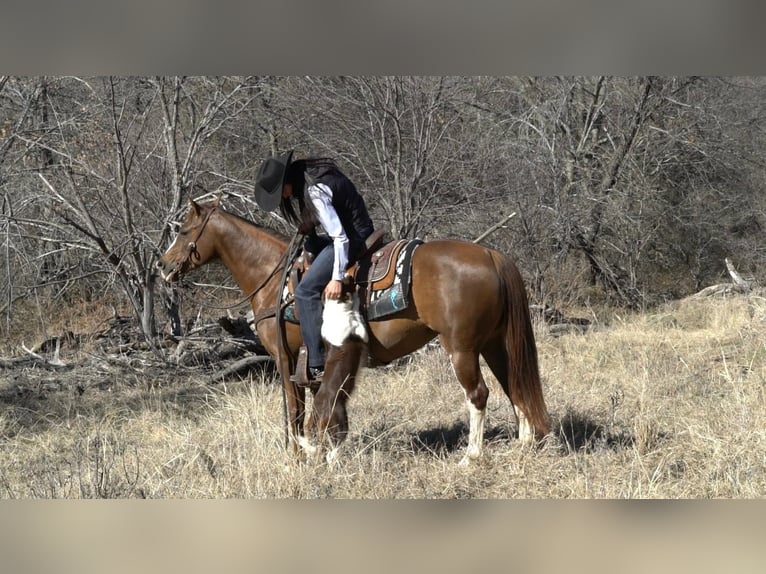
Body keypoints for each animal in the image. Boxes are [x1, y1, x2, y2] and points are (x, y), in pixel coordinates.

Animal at [157, 197, 550, 465]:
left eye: (184, 231)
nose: (162, 265)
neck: (274, 277)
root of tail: (489, 254)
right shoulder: (323, 363)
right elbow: (328, 408)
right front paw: (324, 453)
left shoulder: (287, 359)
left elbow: (296, 411)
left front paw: (299, 455)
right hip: (495, 344)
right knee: (514, 384)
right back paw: (524, 443)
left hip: (462, 348)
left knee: (479, 394)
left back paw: (470, 457)